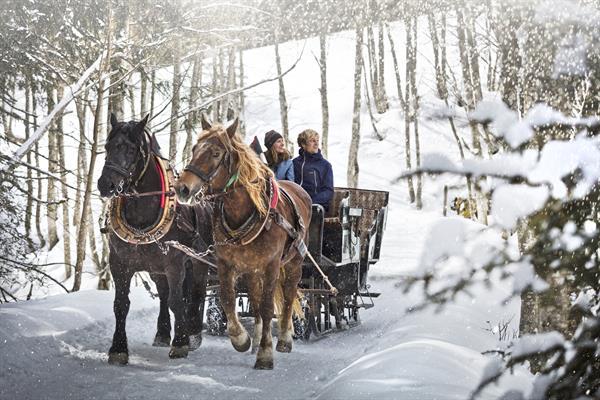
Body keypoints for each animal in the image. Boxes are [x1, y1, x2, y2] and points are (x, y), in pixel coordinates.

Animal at [96, 113, 213, 366]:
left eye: (131, 149)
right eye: (107, 146)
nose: (105, 184)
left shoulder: (175, 264)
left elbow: (177, 301)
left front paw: (181, 343)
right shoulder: (120, 263)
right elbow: (121, 305)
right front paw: (118, 348)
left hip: (198, 261)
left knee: (196, 292)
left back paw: (193, 333)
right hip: (155, 268)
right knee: (164, 294)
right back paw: (162, 333)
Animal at [173, 116, 312, 368]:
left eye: (216, 153)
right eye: (195, 149)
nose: (182, 188)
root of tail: (298, 189)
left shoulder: (271, 265)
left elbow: (268, 307)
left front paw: (265, 354)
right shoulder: (226, 263)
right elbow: (228, 299)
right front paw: (241, 339)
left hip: (294, 261)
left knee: (288, 296)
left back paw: (284, 338)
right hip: (252, 269)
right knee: (255, 301)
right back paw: (256, 339)